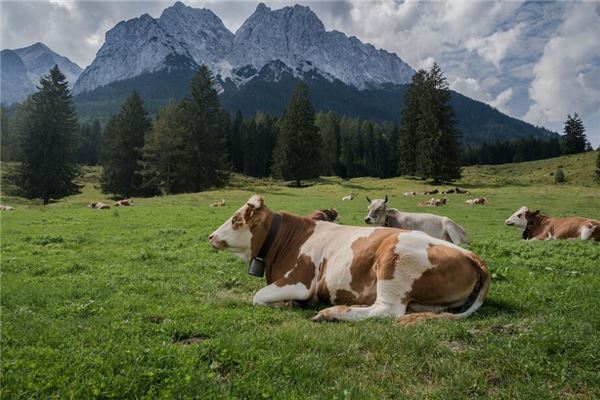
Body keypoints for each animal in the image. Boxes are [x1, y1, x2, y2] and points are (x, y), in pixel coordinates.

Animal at [206, 195, 488, 324]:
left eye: (236, 219)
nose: (210, 236)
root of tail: (472, 255)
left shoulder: (299, 282)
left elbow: (258, 297)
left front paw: (288, 304)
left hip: (394, 263)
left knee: (385, 310)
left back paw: (331, 313)